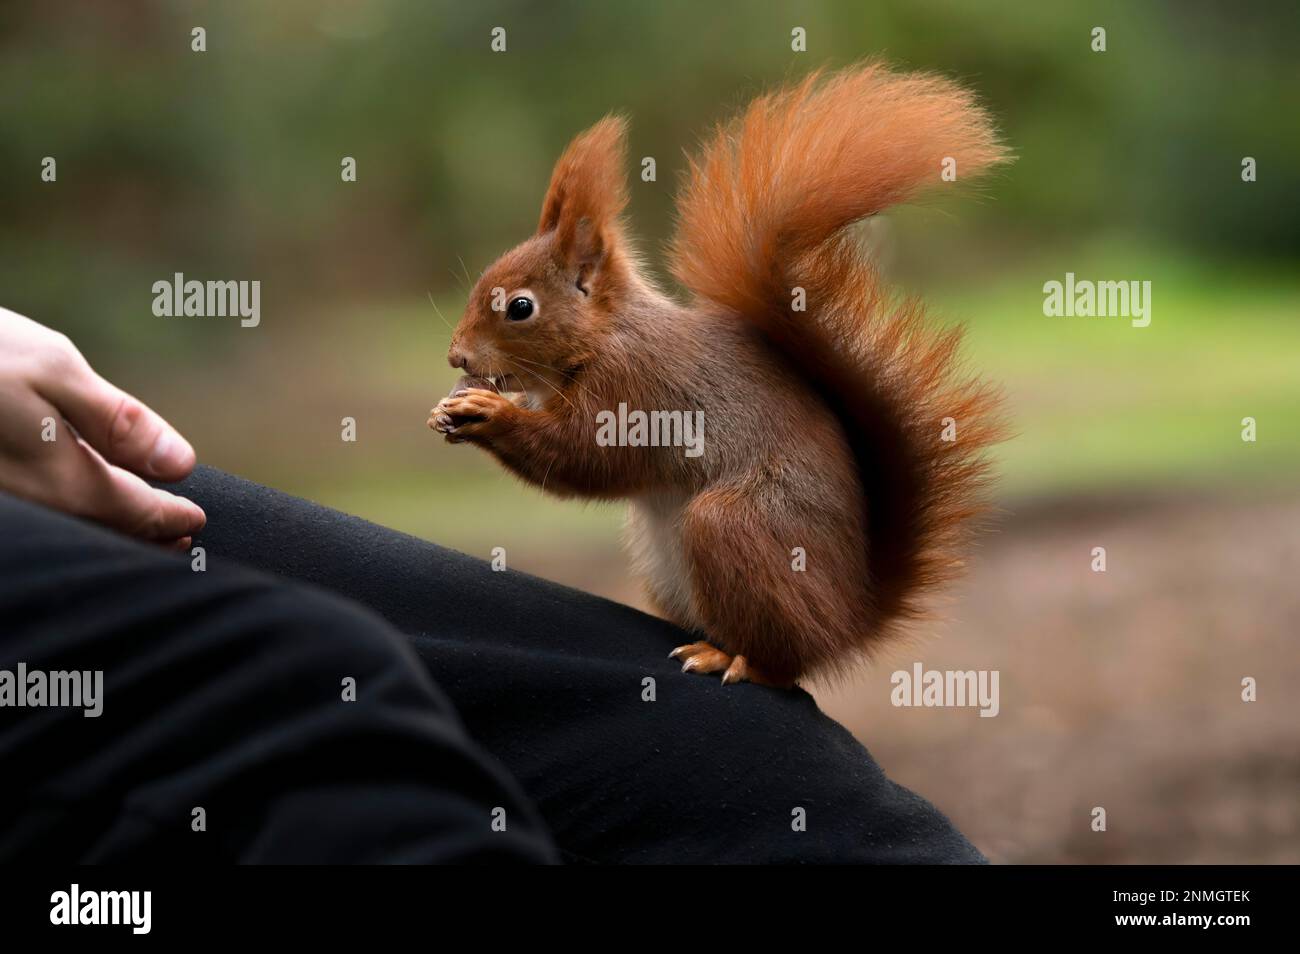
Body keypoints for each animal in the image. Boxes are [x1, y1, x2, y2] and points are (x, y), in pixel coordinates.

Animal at [431, 61, 1008, 686]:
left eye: (520, 307)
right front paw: (451, 408)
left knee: (783, 663)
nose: (457, 357)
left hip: (732, 525)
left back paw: (733, 659)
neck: (606, 337)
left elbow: (583, 456)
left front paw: (488, 412)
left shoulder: (638, 391)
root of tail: (849, 621)